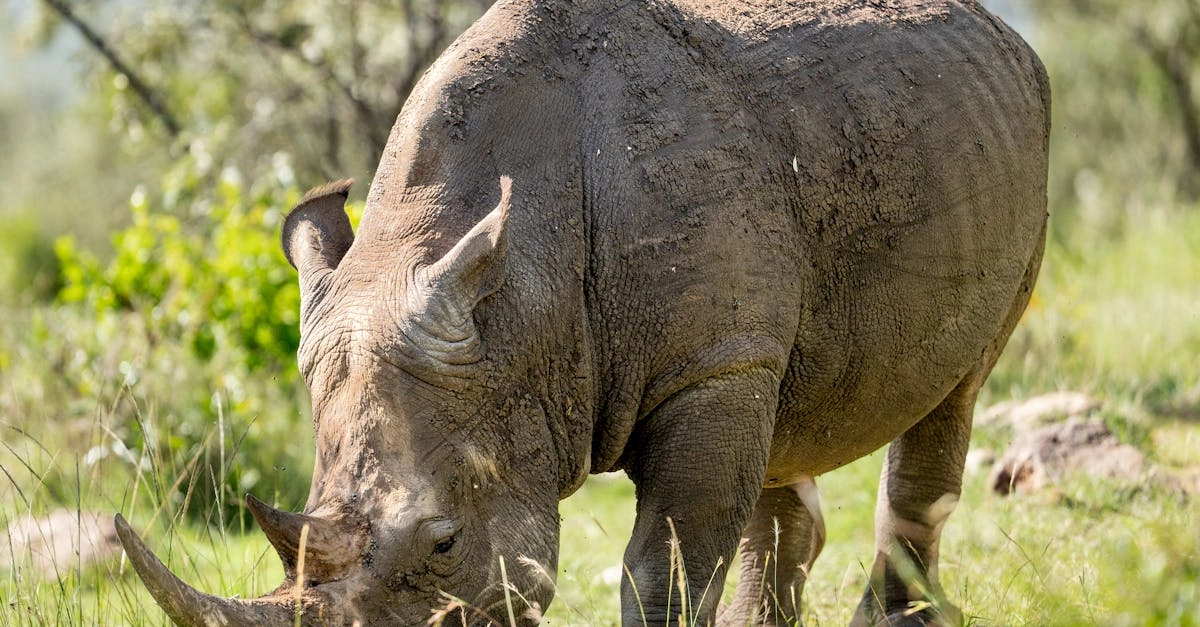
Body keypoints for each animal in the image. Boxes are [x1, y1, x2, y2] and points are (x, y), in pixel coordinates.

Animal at [115, 0, 1050, 624]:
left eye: (444, 544)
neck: (525, 292)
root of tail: (1002, 31)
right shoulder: (717, 353)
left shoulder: (708, 366)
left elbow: (663, 565)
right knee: (783, 417)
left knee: (955, 392)